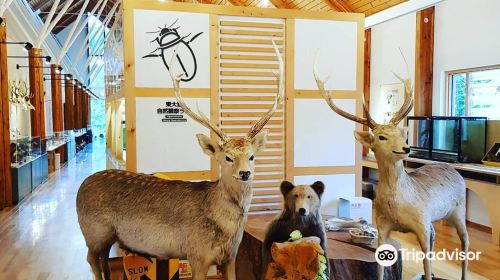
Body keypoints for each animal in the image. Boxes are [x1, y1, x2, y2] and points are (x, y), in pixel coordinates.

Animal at [76, 42, 284, 280]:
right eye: (227, 157)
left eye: (251, 156)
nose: (245, 173)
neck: (228, 231)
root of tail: (82, 186)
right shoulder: (197, 255)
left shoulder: (231, 257)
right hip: (93, 231)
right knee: (91, 259)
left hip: (107, 237)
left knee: (103, 260)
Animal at [312, 55, 468, 280]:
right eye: (381, 137)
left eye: (401, 134)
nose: (406, 148)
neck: (398, 208)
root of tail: (454, 170)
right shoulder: (383, 225)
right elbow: (380, 268)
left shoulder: (421, 222)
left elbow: (427, 264)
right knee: (436, 234)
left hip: (459, 209)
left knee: (465, 241)